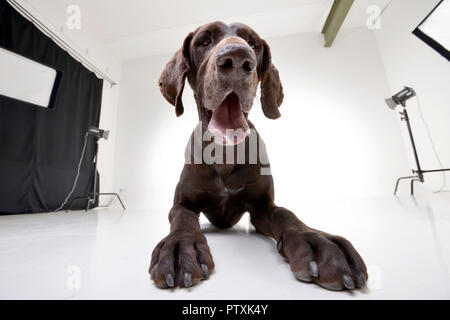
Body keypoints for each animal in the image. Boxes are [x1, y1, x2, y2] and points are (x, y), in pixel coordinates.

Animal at [149, 20, 368, 290]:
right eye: (204, 41)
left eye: (253, 43)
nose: (237, 58)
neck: (225, 153)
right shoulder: (182, 203)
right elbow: (183, 218)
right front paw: (180, 247)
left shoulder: (262, 206)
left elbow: (285, 213)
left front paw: (316, 240)